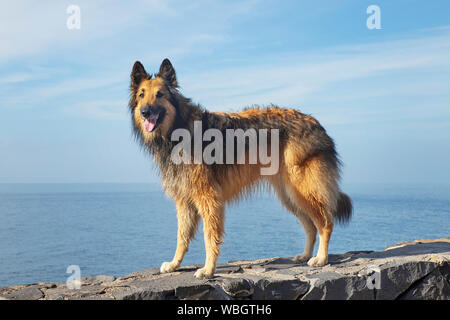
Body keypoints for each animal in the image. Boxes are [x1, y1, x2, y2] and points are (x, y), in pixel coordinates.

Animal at [128, 58, 354, 278]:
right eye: (141, 95)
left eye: (160, 94)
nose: (145, 112)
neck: (179, 127)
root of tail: (317, 123)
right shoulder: (184, 201)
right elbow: (181, 237)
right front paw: (175, 264)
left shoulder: (208, 197)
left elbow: (210, 236)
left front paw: (208, 269)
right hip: (290, 194)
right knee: (310, 227)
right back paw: (305, 255)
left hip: (304, 190)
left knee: (325, 223)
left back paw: (321, 258)